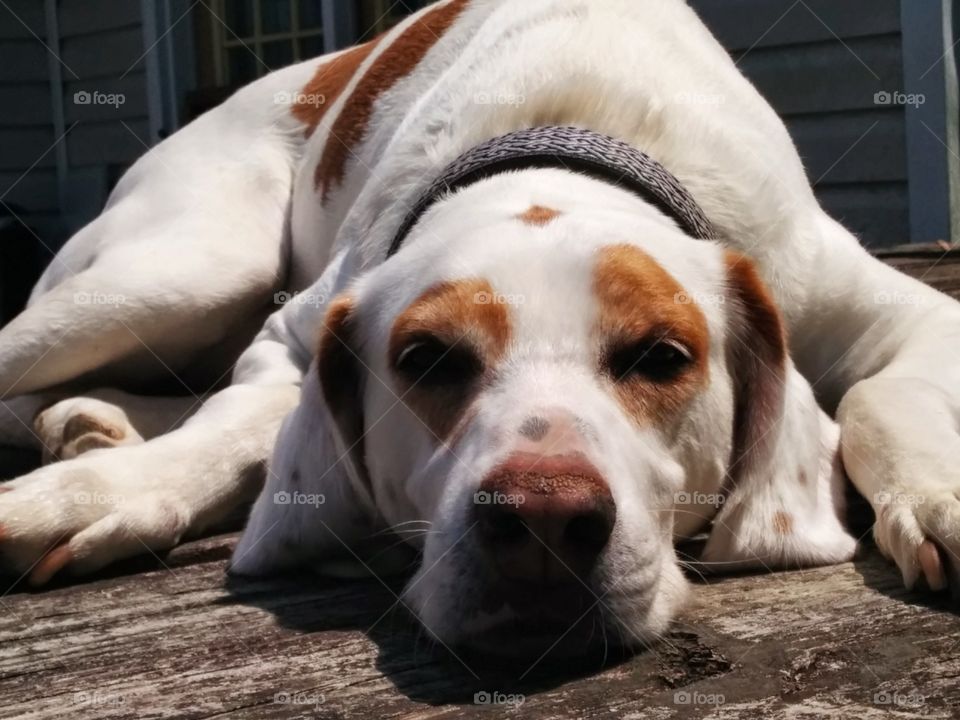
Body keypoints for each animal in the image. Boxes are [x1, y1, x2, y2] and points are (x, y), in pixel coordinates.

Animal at [1, 0, 960, 656]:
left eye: (661, 356)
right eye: (426, 359)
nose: (542, 521)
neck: (570, 130)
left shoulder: (905, 309)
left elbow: (880, 394)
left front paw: (940, 491)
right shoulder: (290, 335)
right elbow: (242, 425)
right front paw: (98, 496)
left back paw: (94, 420)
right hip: (179, 272)